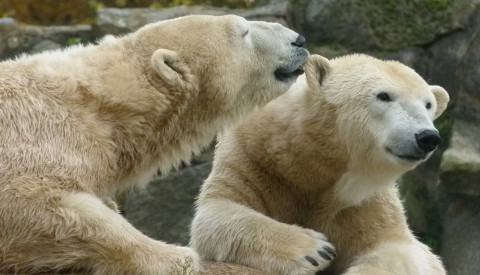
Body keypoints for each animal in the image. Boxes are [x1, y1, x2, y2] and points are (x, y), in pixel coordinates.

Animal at [191, 54, 450, 275]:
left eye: (428, 104)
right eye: (384, 95)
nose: (427, 137)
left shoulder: (364, 201)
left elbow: (400, 248)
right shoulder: (251, 158)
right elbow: (216, 214)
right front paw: (317, 250)